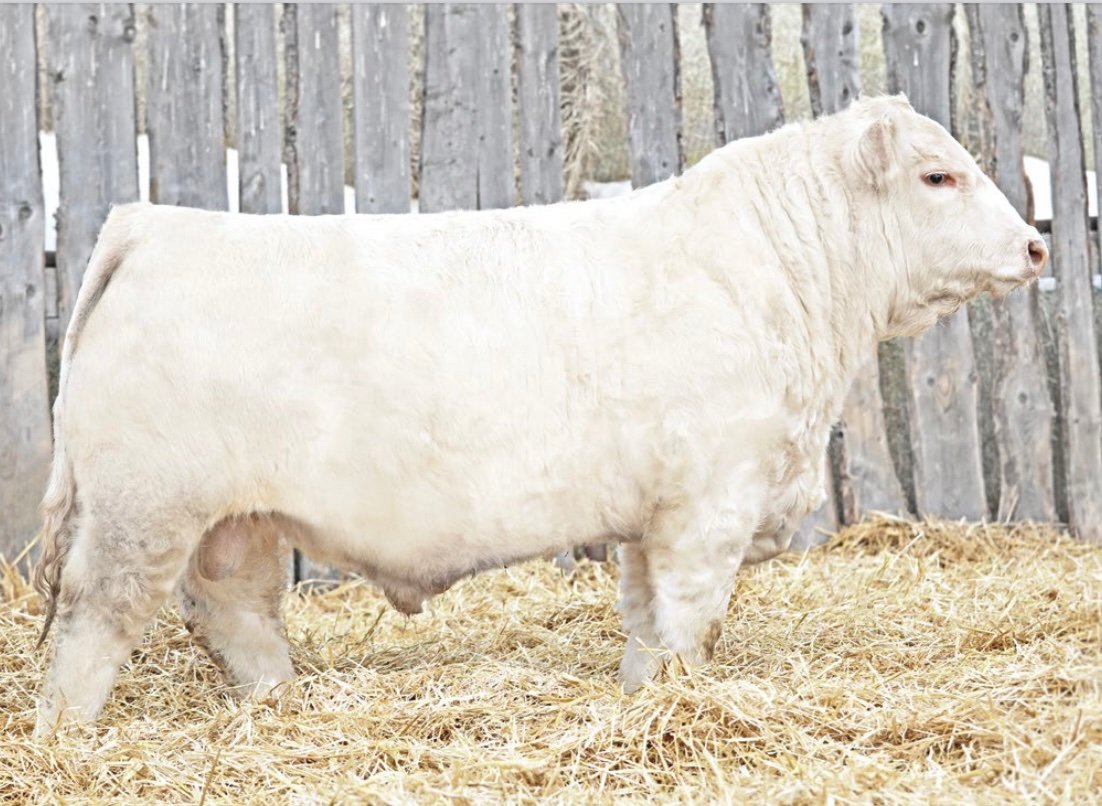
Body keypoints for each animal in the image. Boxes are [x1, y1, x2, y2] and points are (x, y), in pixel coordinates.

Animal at [32, 95, 1046, 734]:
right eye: (938, 177)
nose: (1037, 247)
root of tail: (155, 223)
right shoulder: (711, 503)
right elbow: (690, 620)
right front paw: (683, 704)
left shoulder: (652, 518)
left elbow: (645, 622)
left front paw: (643, 700)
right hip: (141, 508)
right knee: (98, 617)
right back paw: (65, 737)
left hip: (235, 517)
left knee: (233, 609)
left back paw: (284, 703)